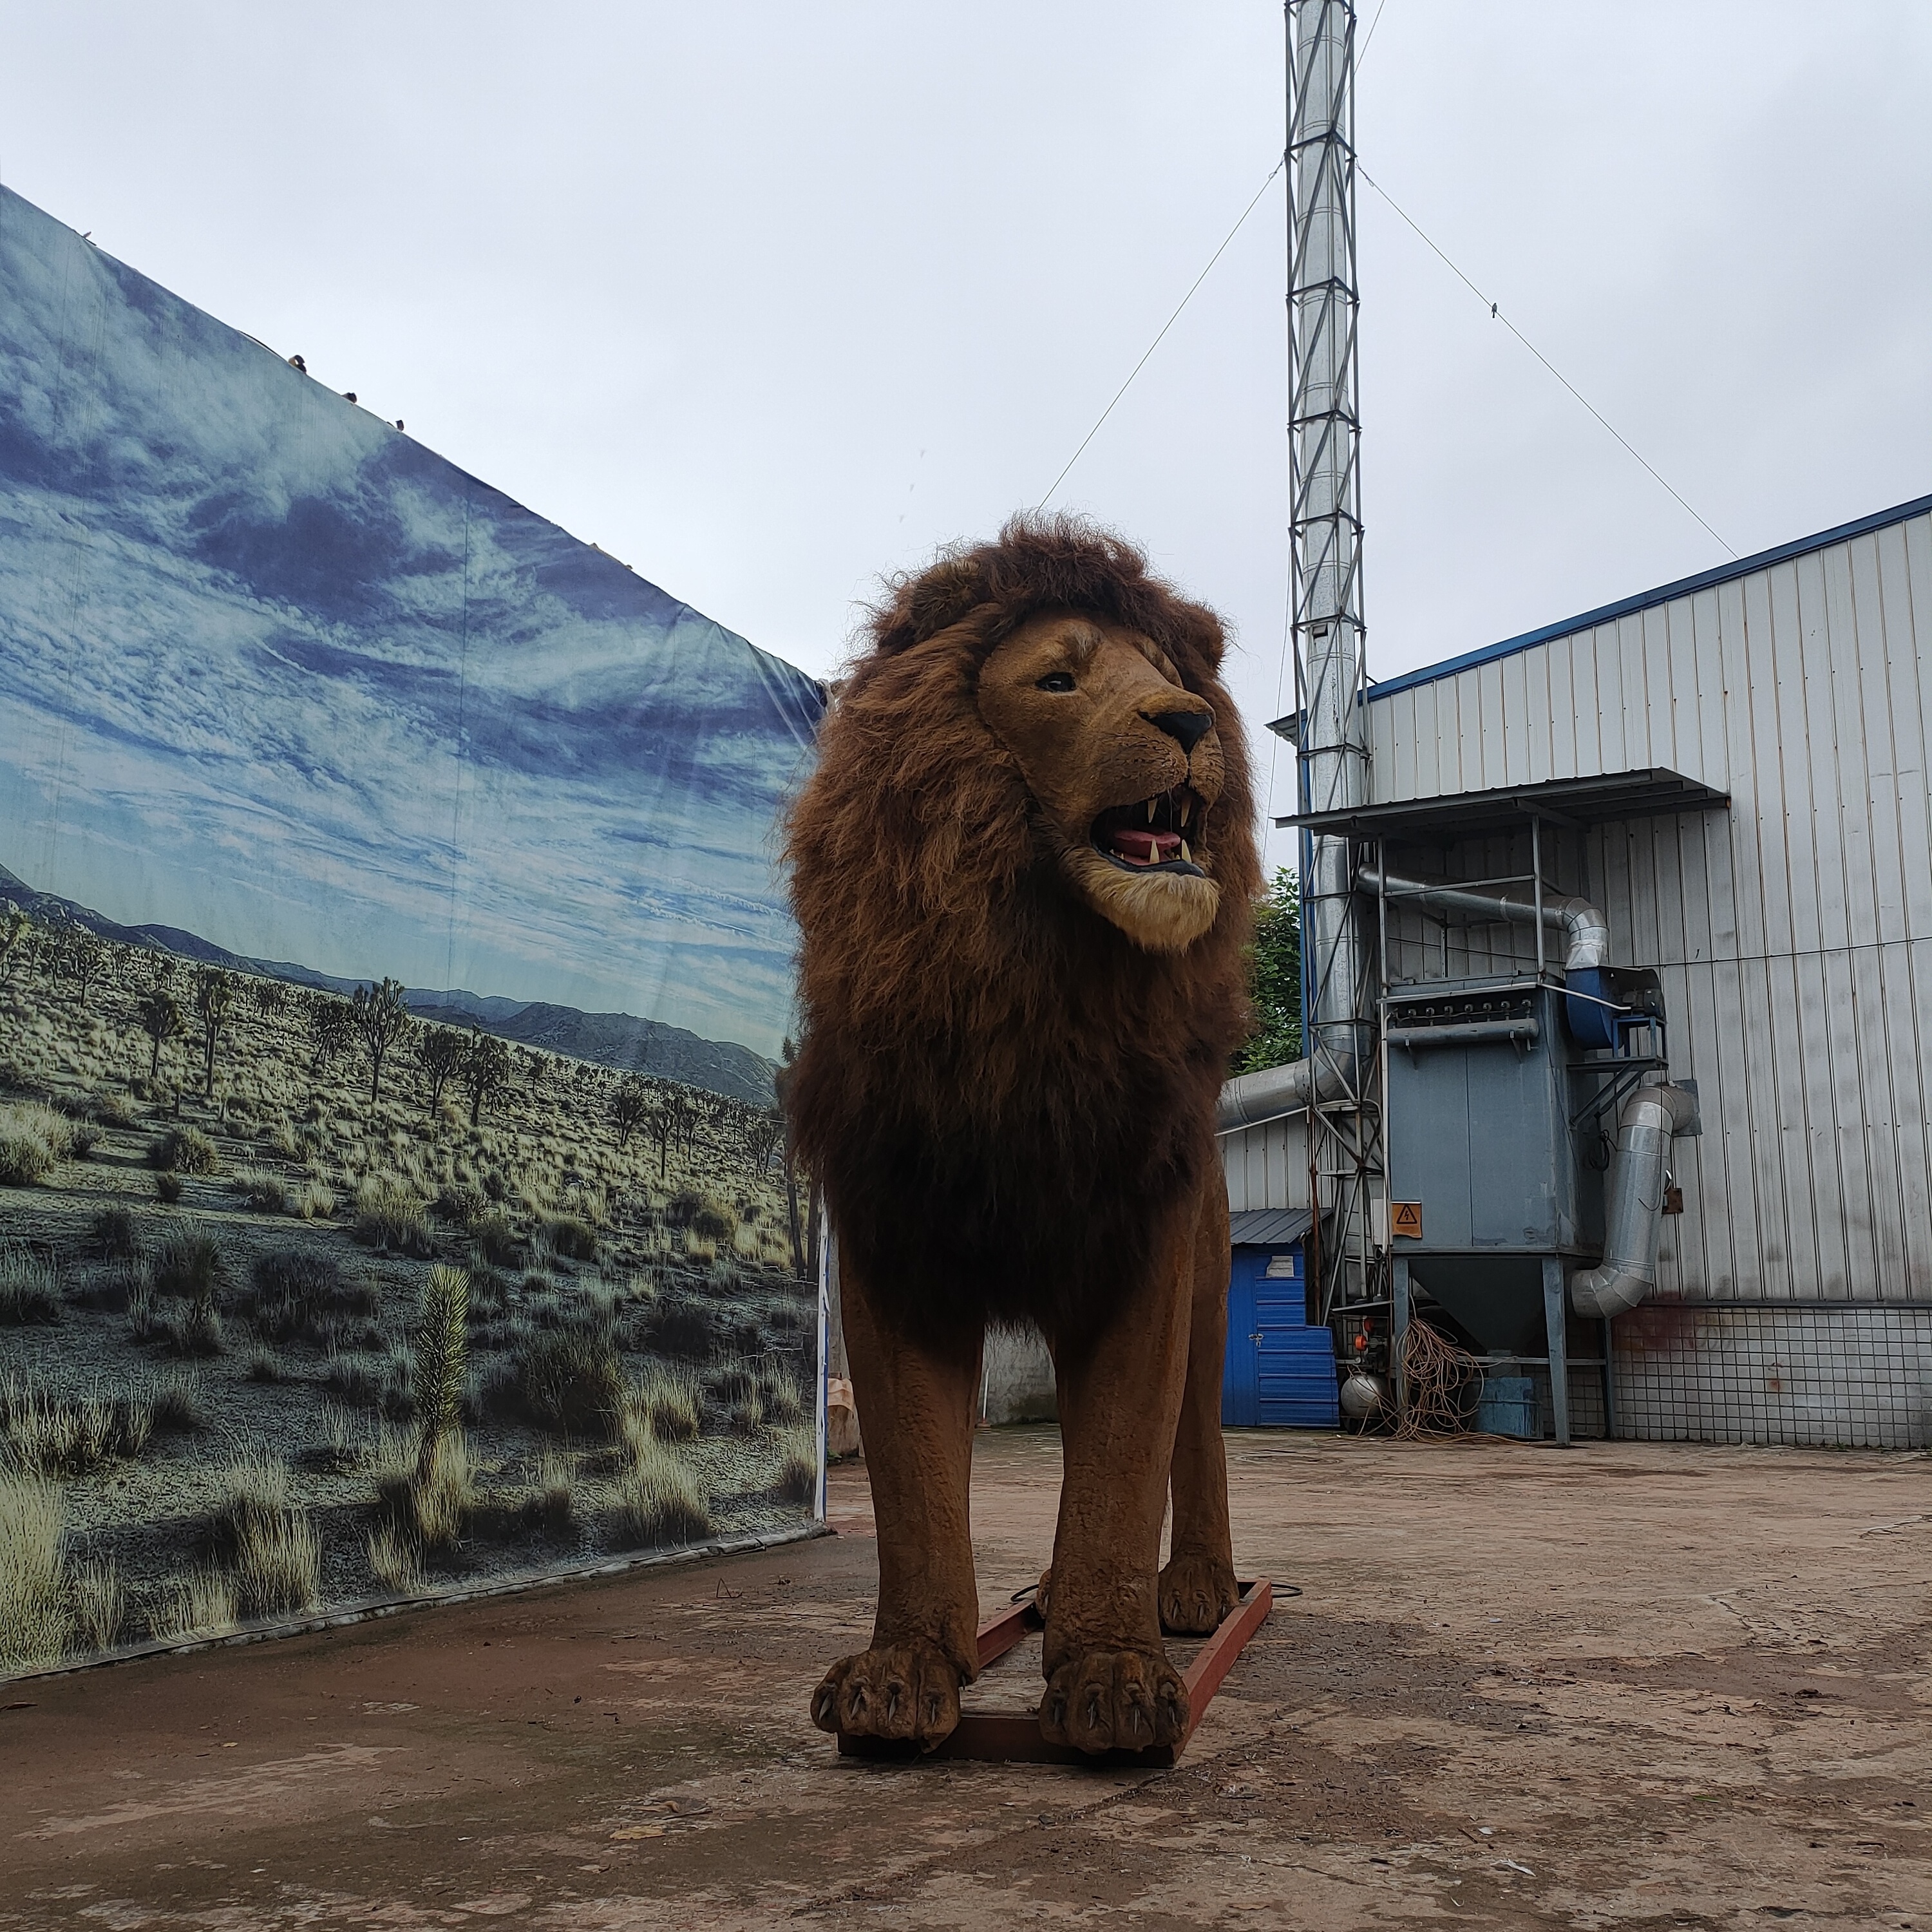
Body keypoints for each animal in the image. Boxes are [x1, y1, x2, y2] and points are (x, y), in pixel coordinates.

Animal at [788, 522, 1267, 1762]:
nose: (1190, 724)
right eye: (1059, 681)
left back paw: (1196, 1590)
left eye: (1172, 676)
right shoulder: (894, 1245)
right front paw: (907, 1674)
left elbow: (1119, 1469)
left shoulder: (1139, 1249)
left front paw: (1111, 1676)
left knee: (1195, 1437)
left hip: (1208, 1272)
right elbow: (915, 1484)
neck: (1033, 989)